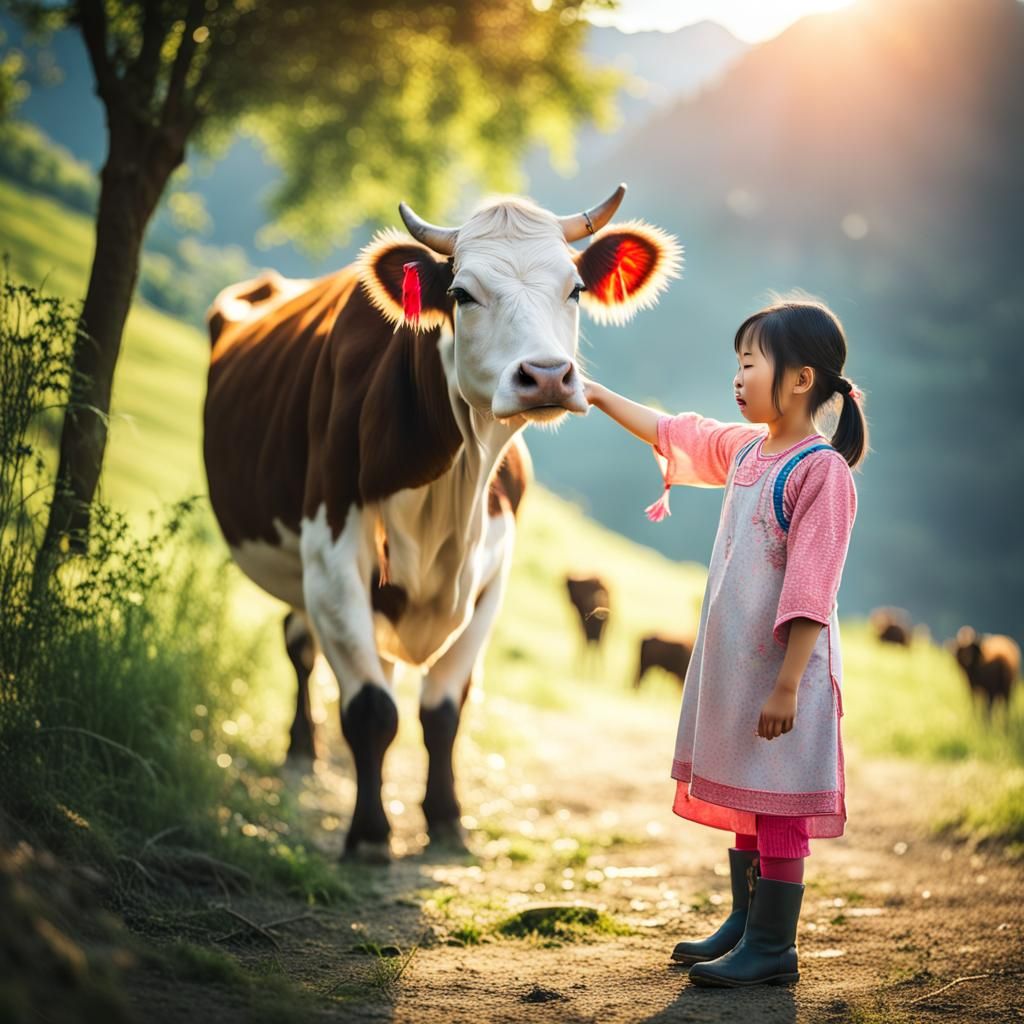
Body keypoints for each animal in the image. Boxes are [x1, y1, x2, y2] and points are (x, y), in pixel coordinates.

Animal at [203, 185, 681, 860]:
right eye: (461, 293)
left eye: (576, 289)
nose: (546, 376)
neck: (453, 492)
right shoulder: (332, 559)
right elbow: (371, 709)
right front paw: (369, 835)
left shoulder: (491, 576)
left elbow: (443, 711)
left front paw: (447, 821)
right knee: (301, 648)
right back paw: (302, 749)